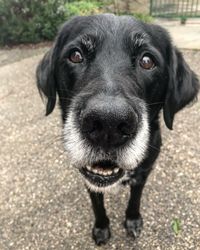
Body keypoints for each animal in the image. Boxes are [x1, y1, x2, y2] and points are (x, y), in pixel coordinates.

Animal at [36, 14, 199, 246]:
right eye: (75, 55)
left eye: (147, 61)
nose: (108, 123)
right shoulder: (88, 178)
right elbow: (97, 205)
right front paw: (101, 227)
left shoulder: (144, 172)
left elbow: (135, 199)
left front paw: (132, 219)